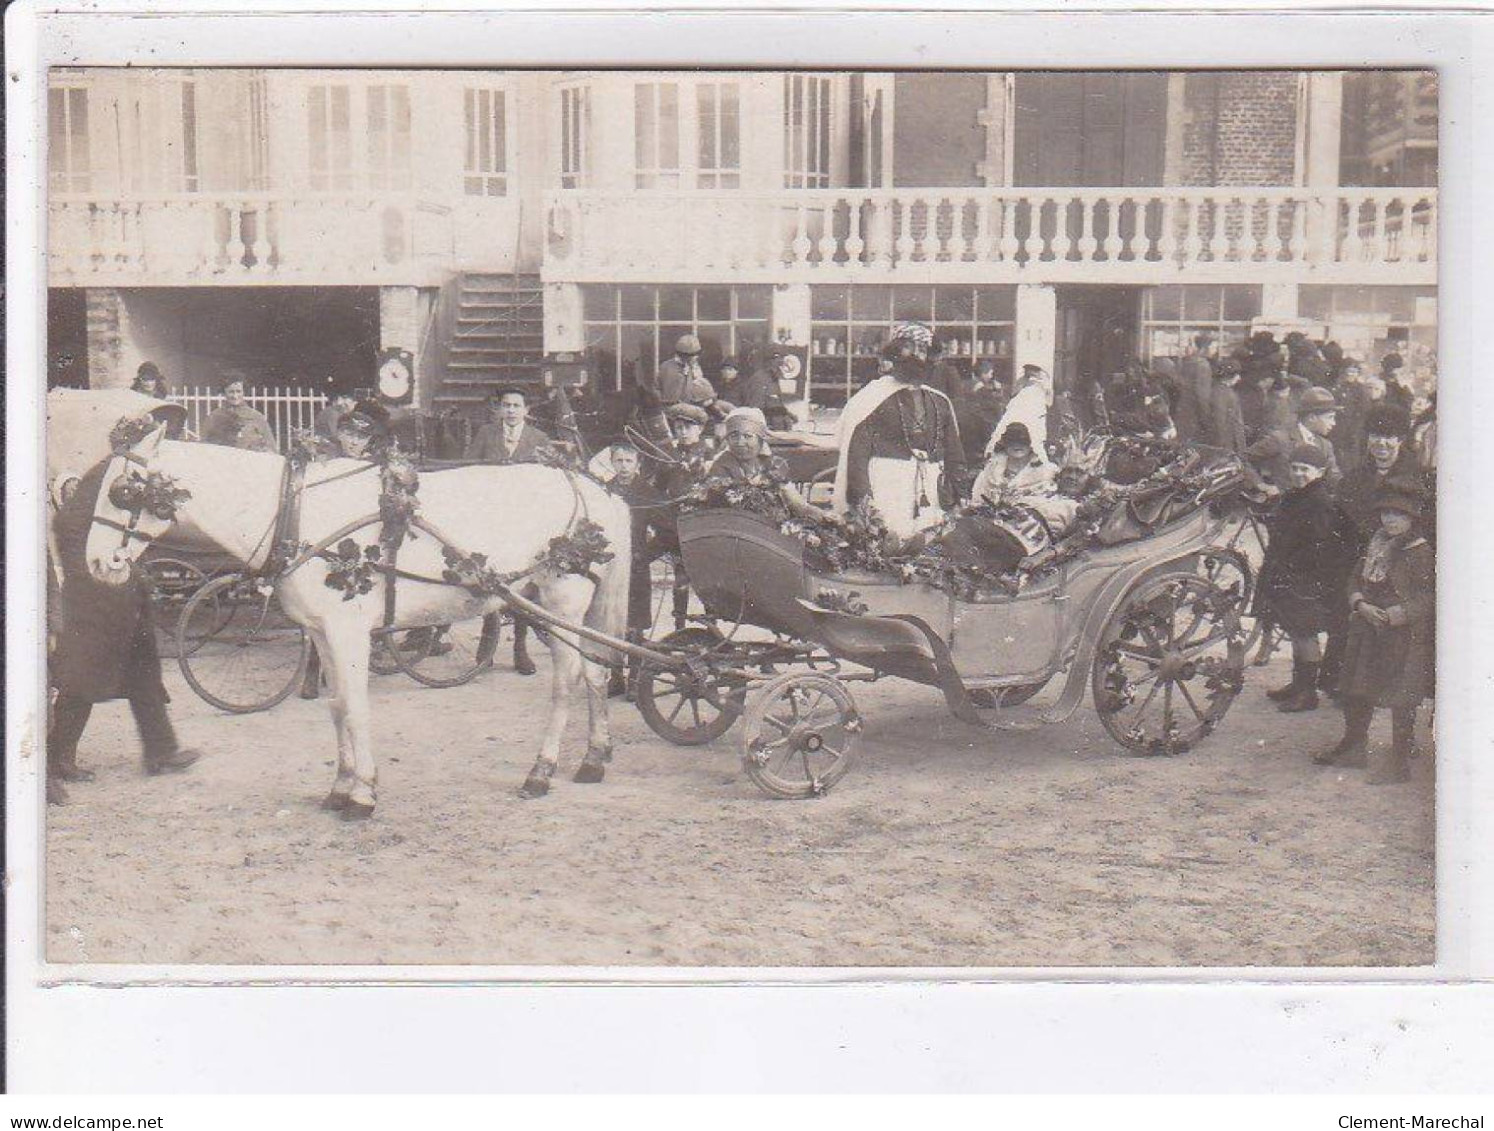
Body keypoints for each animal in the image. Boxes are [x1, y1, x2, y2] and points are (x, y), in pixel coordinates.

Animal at [83, 424, 630, 812]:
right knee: (597, 674)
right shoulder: (322, 632)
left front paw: (363, 793)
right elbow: (336, 707)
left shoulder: (348, 631)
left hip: (562, 601)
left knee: (567, 682)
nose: (96, 563)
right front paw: (341, 787)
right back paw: (593, 759)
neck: (295, 512)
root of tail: (595, 490)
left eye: (122, 490)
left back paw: (541, 771)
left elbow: (356, 707)